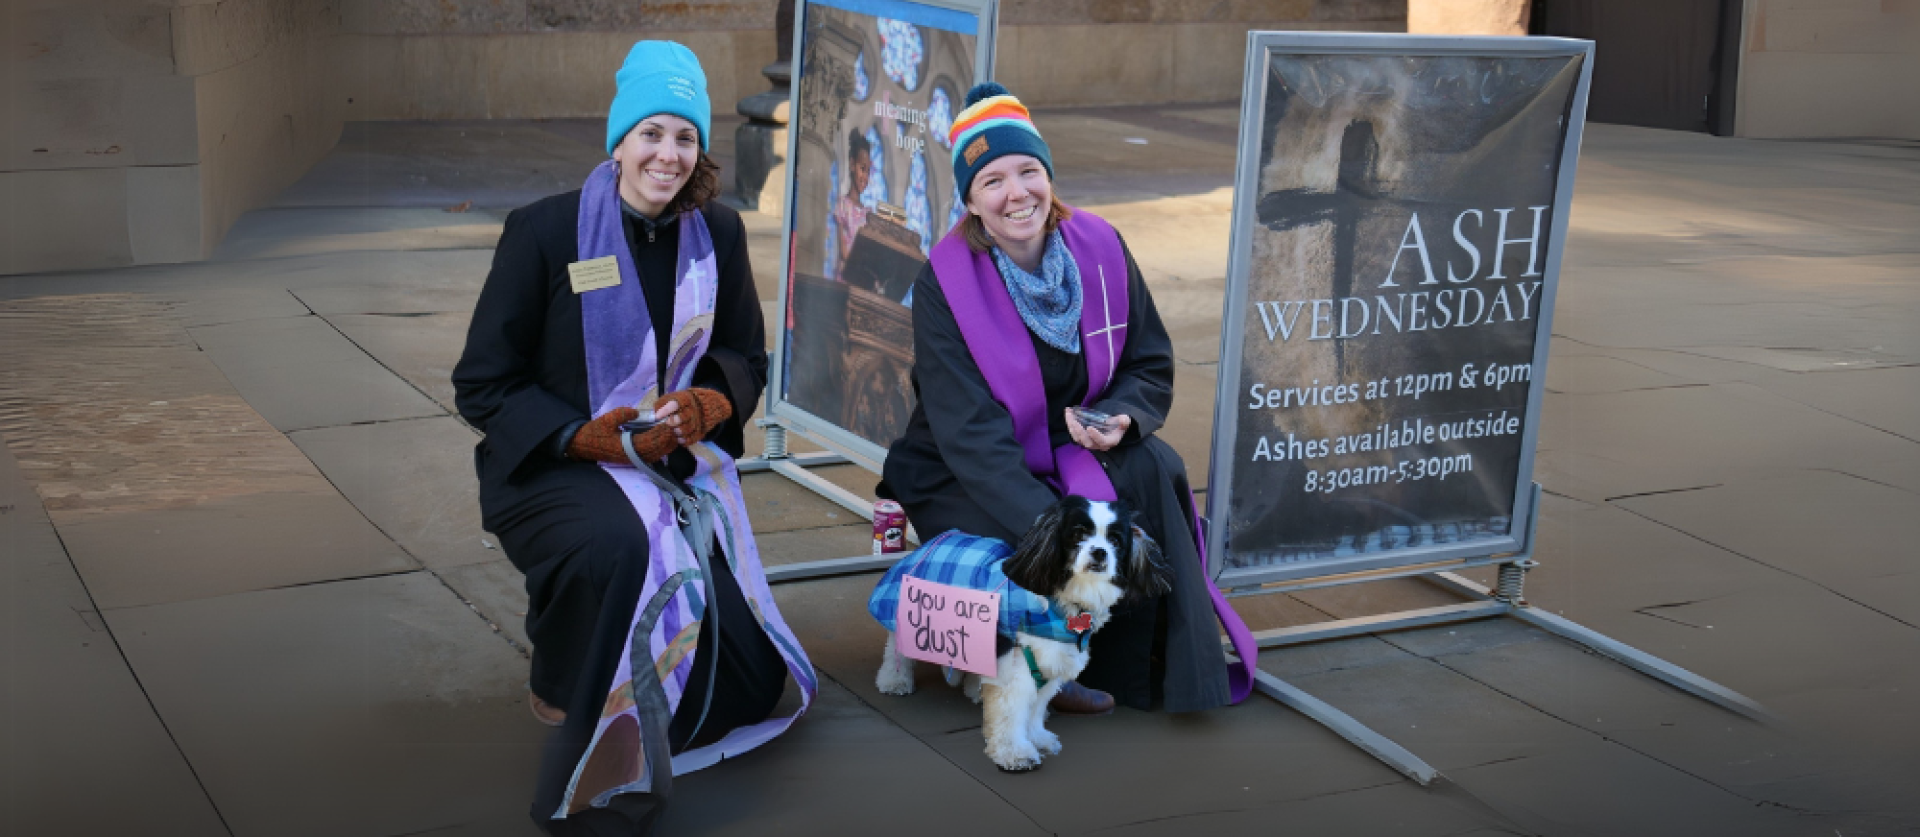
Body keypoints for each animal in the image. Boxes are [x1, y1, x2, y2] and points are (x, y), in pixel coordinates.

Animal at [875, 495, 1167, 771]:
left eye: (1115, 540)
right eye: (1078, 534)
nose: (1100, 552)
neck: (1062, 605)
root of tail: (938, 538)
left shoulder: (1049, 665)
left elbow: (1036, 707)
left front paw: (1037, 737)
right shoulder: (1016, 665)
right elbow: (1012, 712)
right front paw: (1015, 753)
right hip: (910, 613)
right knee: (896, 650)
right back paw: (895, 680)